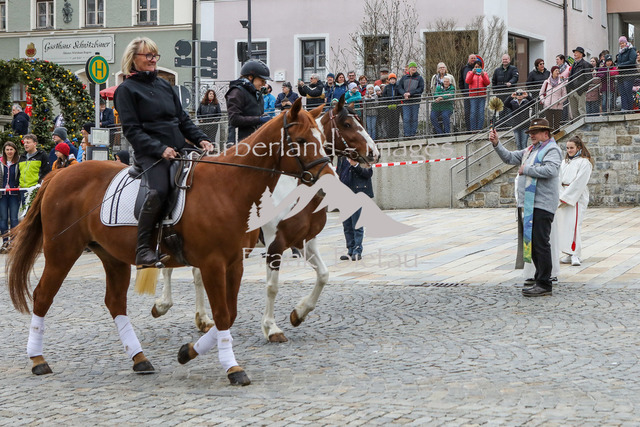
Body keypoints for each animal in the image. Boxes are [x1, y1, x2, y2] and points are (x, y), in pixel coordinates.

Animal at [5, 98, 335, 385]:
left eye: (324, 140)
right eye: (302, 140)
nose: (327, 184)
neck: (229, 188)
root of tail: (58, 176)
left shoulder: (236, 262)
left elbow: (230, 313)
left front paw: (188, 352)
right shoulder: (214, 263)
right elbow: (223, 313)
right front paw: (233, 367)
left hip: (112, 256)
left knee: (115, 303)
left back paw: (139, 358)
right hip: (62, 252)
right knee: (43, 296)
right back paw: (38, 359)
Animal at [151, 95, 380, 342]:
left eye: (359, 121)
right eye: (347, 124)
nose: (374, 152)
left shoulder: (305, 241)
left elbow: (323, 275)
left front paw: (298, 313)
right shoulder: (275, 243)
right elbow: (272, 286)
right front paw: (271, 327)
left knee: (196, 273)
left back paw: (203, 319)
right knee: (169, 268)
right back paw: (163, 304)